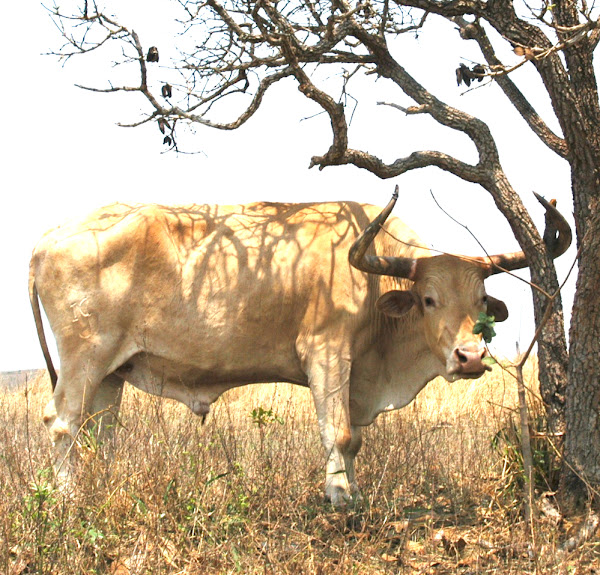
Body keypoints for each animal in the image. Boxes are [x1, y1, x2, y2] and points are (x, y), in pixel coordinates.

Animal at [29, 189, 572, 508]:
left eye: (480, 300)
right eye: (428, 299)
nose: (470, 357)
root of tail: (49, 239)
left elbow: (353, 438)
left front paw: (353, 490)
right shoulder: (326, 353)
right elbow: (340, 433)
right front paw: (340, 497)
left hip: (112, 375)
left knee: (98, 437)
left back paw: (97, 491)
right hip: (84, 360)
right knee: (61, 423)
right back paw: (69, 501)